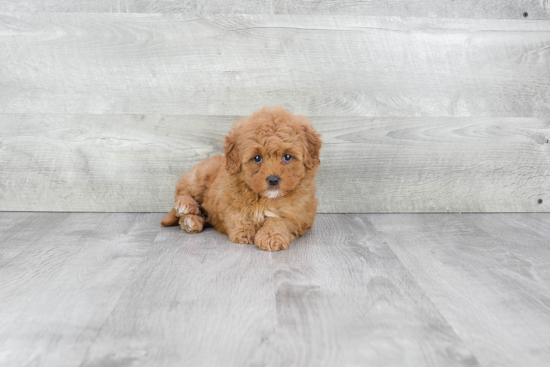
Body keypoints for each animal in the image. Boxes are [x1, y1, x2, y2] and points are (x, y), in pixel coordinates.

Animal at [161, 105, 324, 252]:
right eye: (257, 158)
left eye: (288, 157)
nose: (273, 180)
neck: (265, 199)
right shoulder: (227, 196)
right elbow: (238, 213)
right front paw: (245, 231)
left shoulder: (298, 212)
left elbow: (279, 220)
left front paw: (270, 236)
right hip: (199, 177)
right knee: (183, 191)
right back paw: (185, 206)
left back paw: (190, 221)